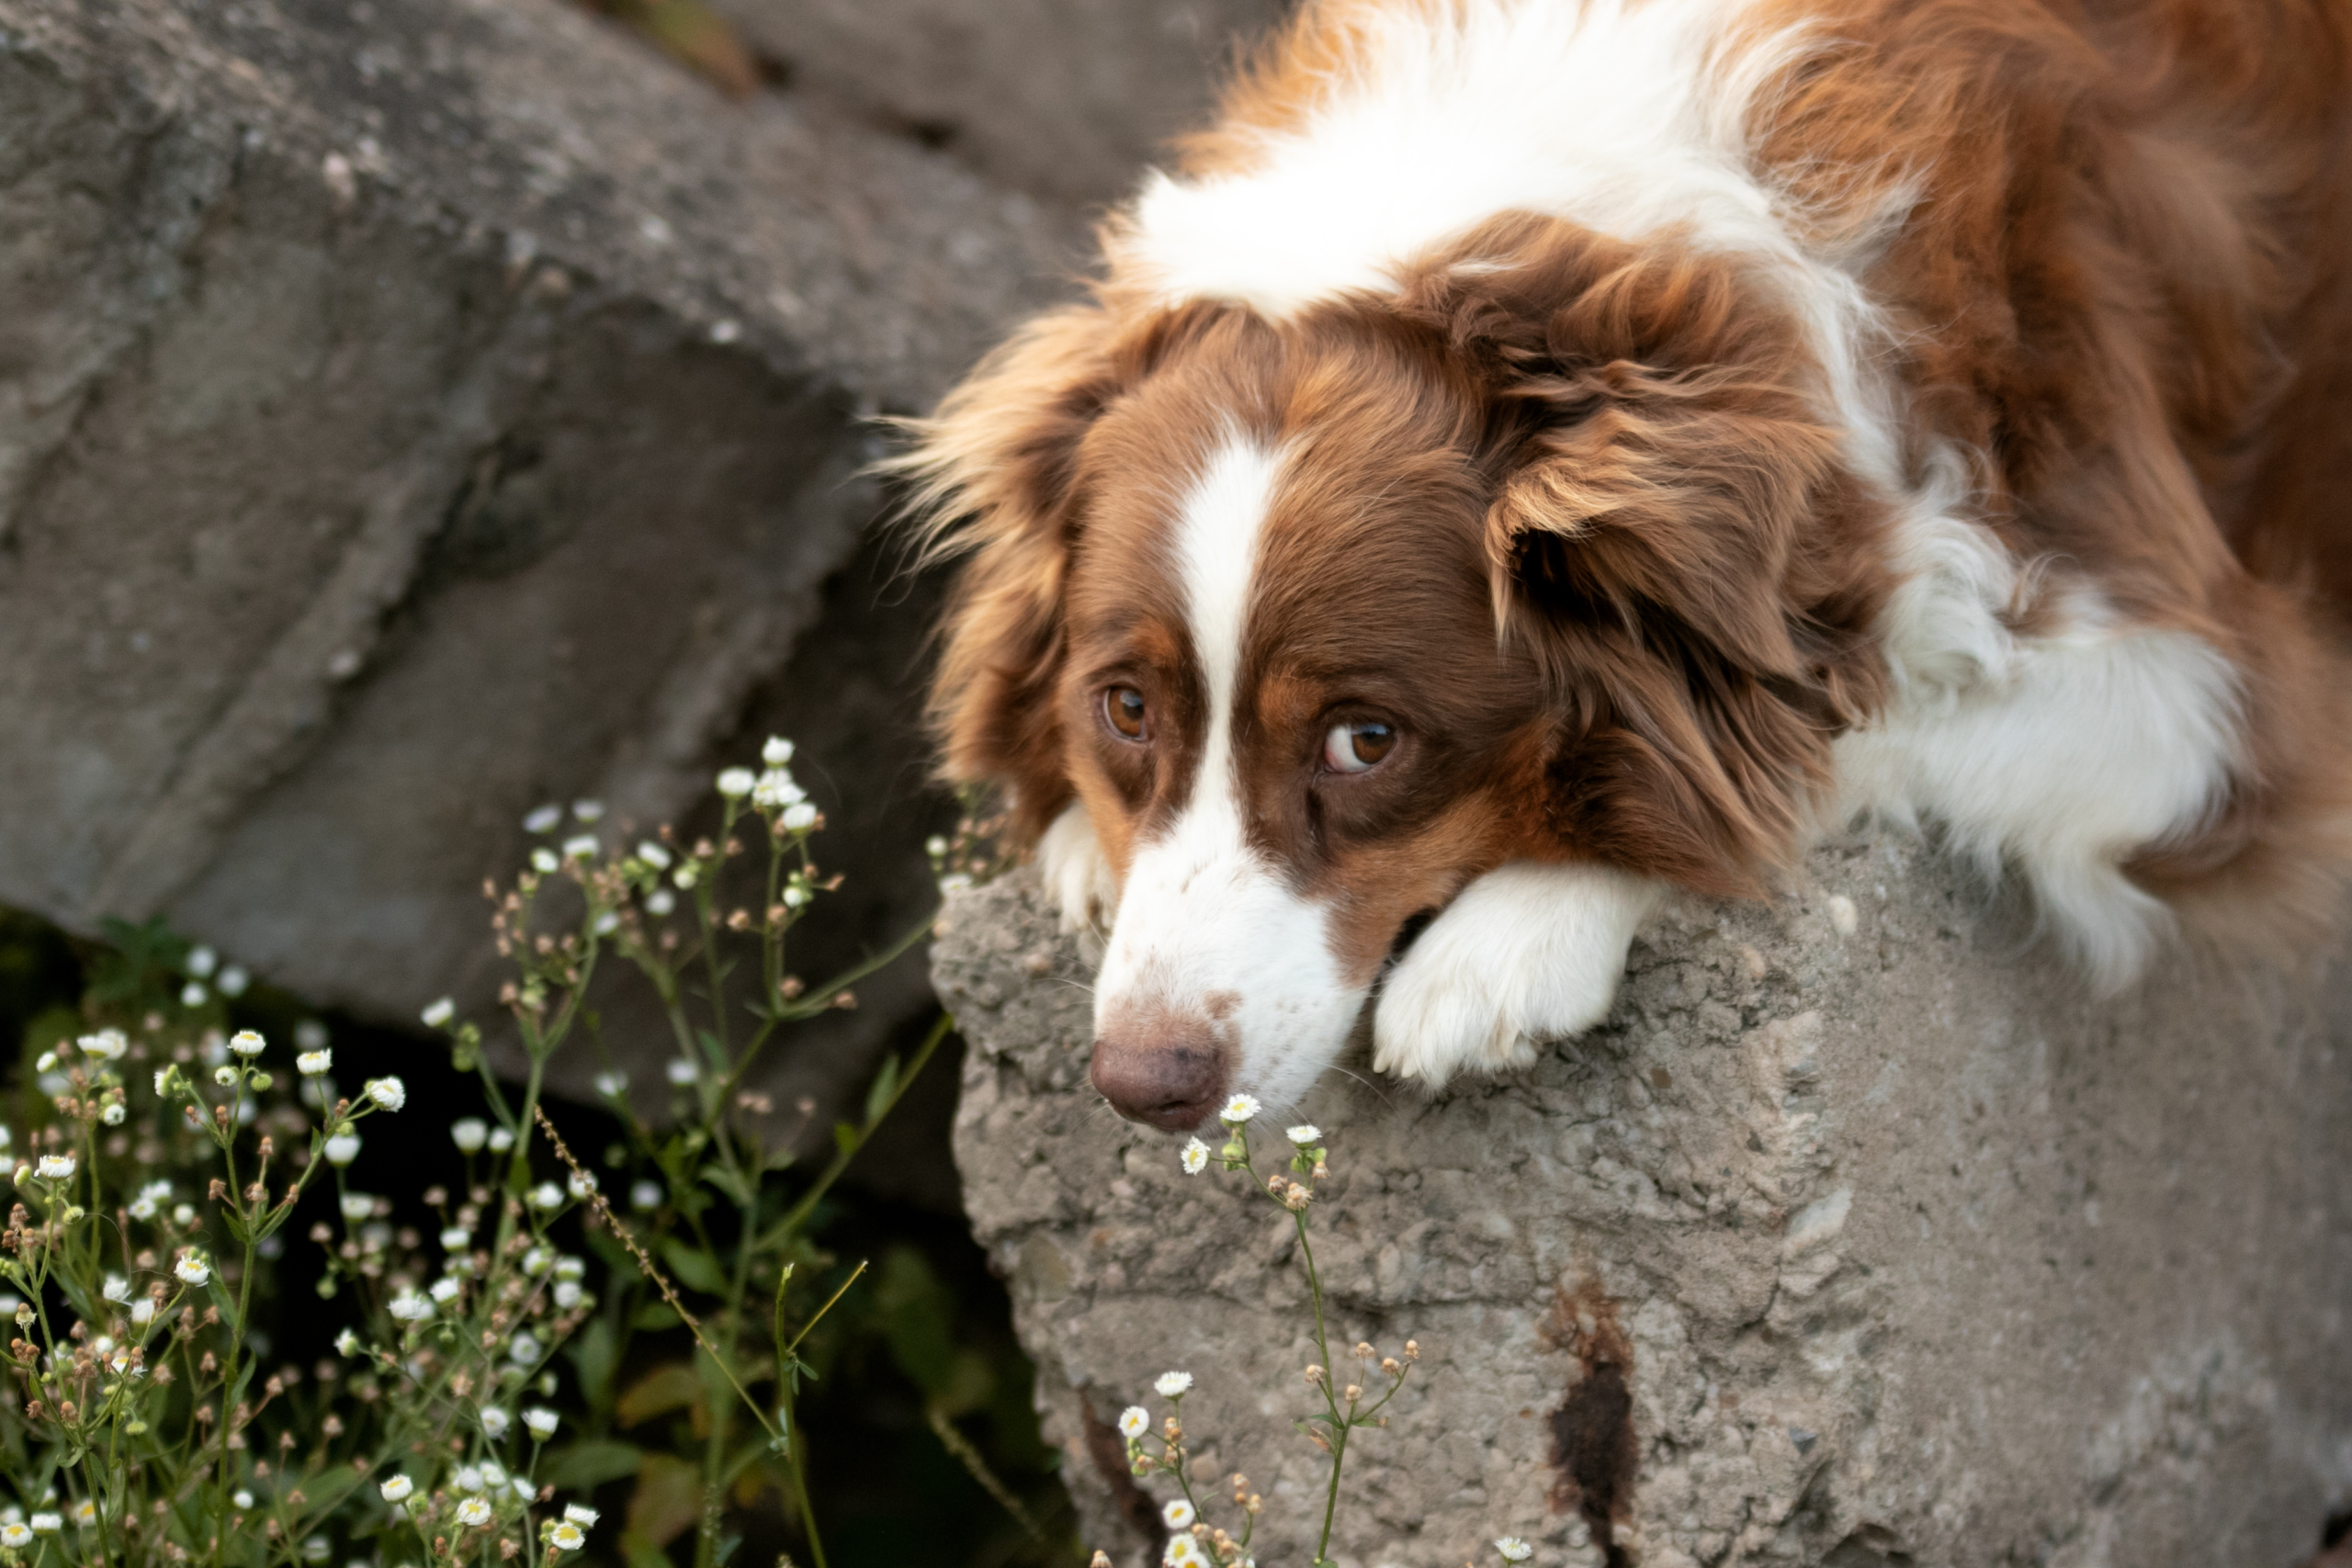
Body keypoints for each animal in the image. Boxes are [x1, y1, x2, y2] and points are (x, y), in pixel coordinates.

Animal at [893, 0, 2352, 1128]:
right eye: (1125, 709)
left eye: (1366, 740)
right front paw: (1080, 835)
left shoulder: (2201, 697)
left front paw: (1519, 932)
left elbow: (1806, 749)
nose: (1145, 1083)